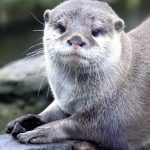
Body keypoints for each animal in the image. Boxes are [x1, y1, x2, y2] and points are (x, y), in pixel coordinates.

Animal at [5, 0, 150, 149]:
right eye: (61, 27)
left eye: (95, 31)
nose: (76, 39)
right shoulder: (64, 102)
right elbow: (53, 112)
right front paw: (25, 120)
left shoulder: (120, 114)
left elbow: (80, 124)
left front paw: (41, 131)